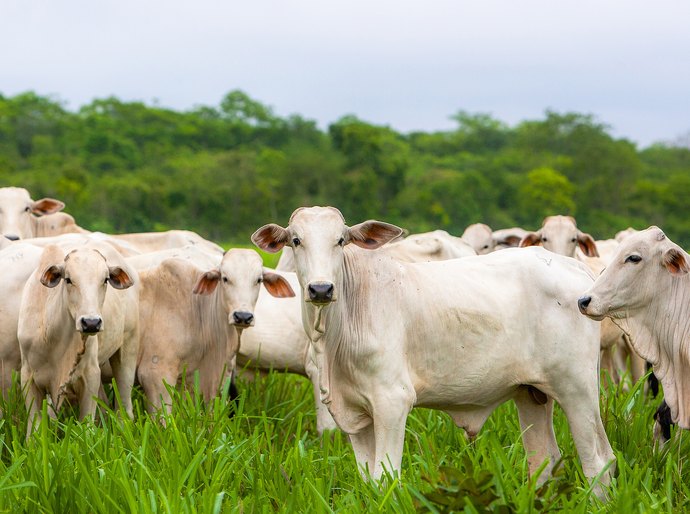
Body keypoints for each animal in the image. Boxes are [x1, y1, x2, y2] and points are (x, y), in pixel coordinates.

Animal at [18, 242, 138, 434]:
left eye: (105, 280)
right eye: (68, 279)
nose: (91, 323)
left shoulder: (90, 375)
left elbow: (86, 427)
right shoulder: (28, 376)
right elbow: (35, 429)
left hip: (128, 348)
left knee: (124, 407)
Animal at [250, 206, 612, 486]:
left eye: (340, 240)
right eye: (296, 240)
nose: (321, 289)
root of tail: (574, 267)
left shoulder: (392, 402)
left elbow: (385, 477)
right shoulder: (355, 413)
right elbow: (367, 479)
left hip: (577, 389)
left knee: (598, 460)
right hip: (531, 394)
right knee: (543, 461)